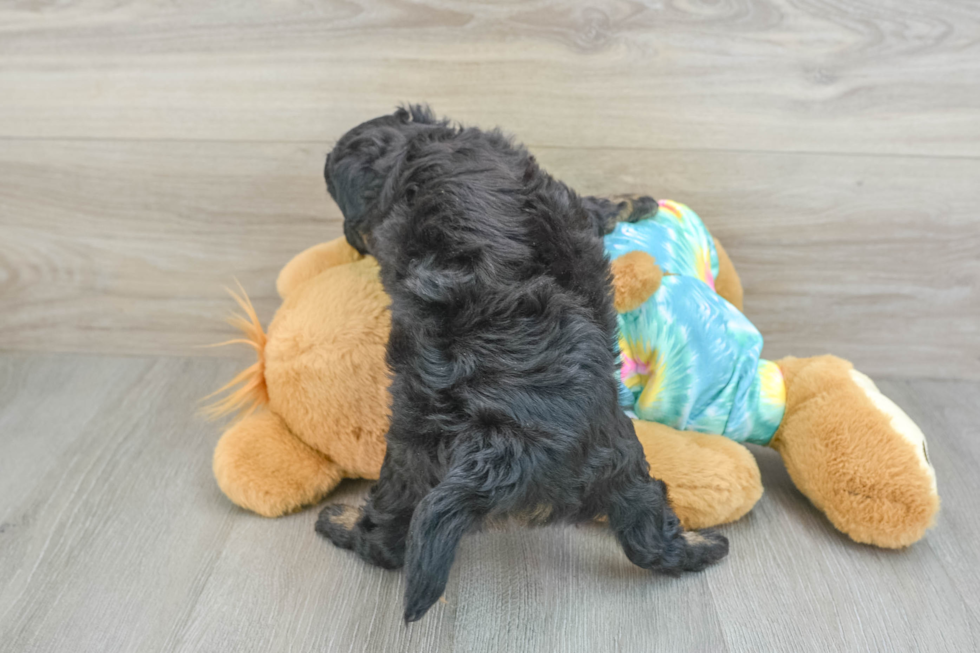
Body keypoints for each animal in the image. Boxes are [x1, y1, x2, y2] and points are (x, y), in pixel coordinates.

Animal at [314, 105, 728, 620]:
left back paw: (340, 522)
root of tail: (504, 446)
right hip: (619, 458)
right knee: (649, 533)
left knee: (388, 536)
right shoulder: (570, 202)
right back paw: (705, 546)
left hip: (416, 458)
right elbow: (599, 207)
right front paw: (639, 201)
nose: (352, 240)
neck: (412, 147)